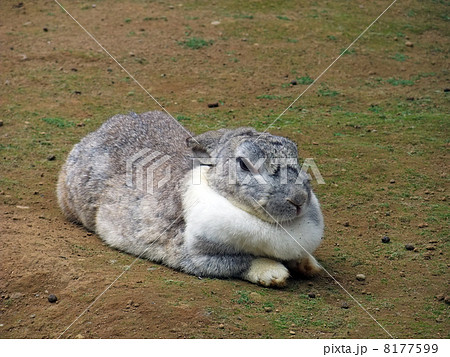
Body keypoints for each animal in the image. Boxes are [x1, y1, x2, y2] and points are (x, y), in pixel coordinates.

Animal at [58, 111, 324, 286]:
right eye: (244, 164)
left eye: (295, 155)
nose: (298, 200)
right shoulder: (195, 255)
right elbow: (242, 262)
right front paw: (274, 274)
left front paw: (309, 265)